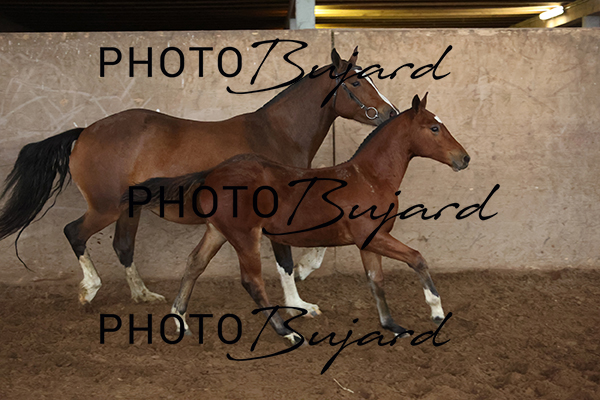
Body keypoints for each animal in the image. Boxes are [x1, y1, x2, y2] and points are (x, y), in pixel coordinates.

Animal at [0, 47, 399, 312]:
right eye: (357, 82)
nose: (390, 113)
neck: (275, 134)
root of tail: (84, 132)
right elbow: (287, 259)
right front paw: (299, 299)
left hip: (129, 210)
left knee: (123, 247)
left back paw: (143, 295)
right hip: (105, 207)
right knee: (75, 233)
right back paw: (90, 289)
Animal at [128, 93, 470, 343]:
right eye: (434, 128)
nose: (464, 158)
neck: (369, 177)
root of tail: (213, 173)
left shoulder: (369, 243)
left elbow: (376, 281)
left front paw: (392, 325)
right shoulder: (373, 237)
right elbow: (417, 258)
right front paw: (436, 312)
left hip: (217, 231)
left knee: (194, 264)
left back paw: (180, 320)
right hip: (245, 237)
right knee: (251, 281)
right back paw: (286, 331)